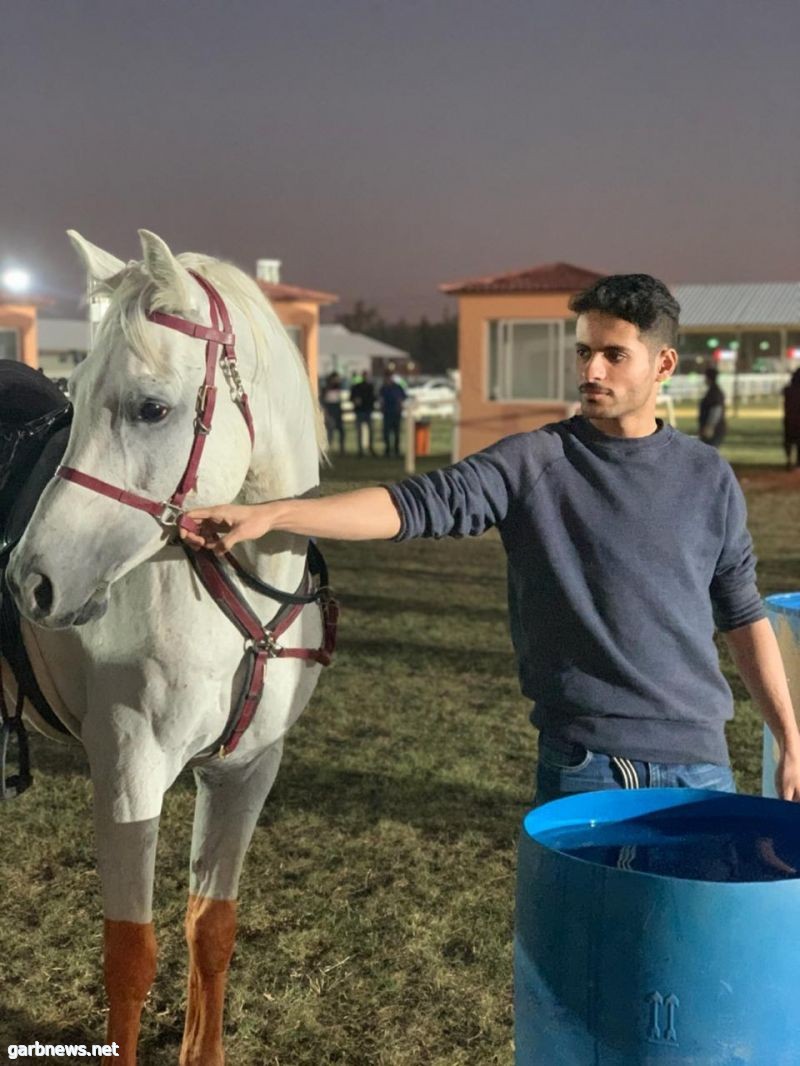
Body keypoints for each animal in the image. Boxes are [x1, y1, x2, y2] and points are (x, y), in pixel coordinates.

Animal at [6, 233, 332, 1066]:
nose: (30, 580)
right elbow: (131, 953)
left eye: (152, 408)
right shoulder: (128, 768)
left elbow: (211, 928)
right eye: (75, 392)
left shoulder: (246, 773)